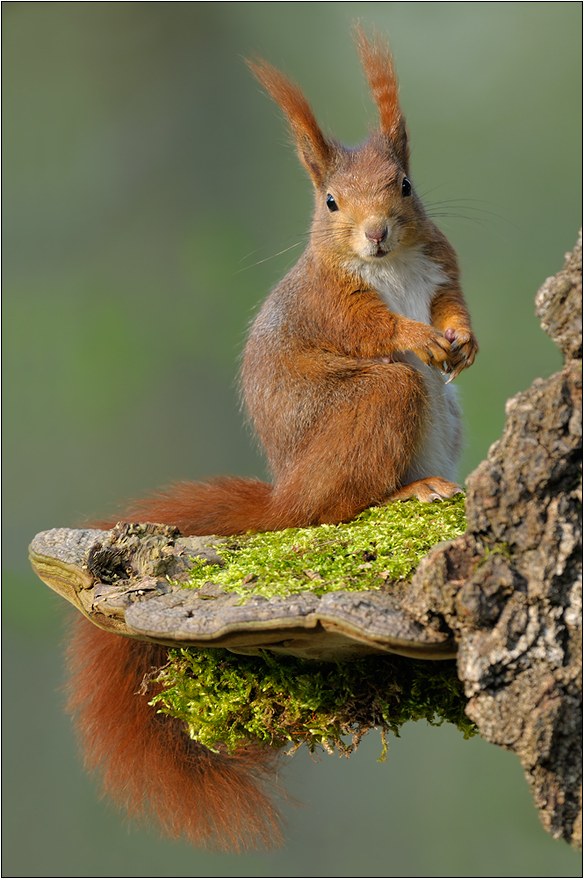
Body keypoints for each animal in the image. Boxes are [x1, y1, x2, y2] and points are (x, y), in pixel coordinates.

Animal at [67, 29, 480, 852]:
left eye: (406, 185)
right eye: (329, 202)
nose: (377, 233)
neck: (391, 266)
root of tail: (285, 495)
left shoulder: (441, 260)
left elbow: (454, 300)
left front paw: (461, 338)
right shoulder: (332, 305)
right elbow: (377, 329)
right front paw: (418, 335)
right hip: (377, 406)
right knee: (339, 501)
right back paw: (407, 489)